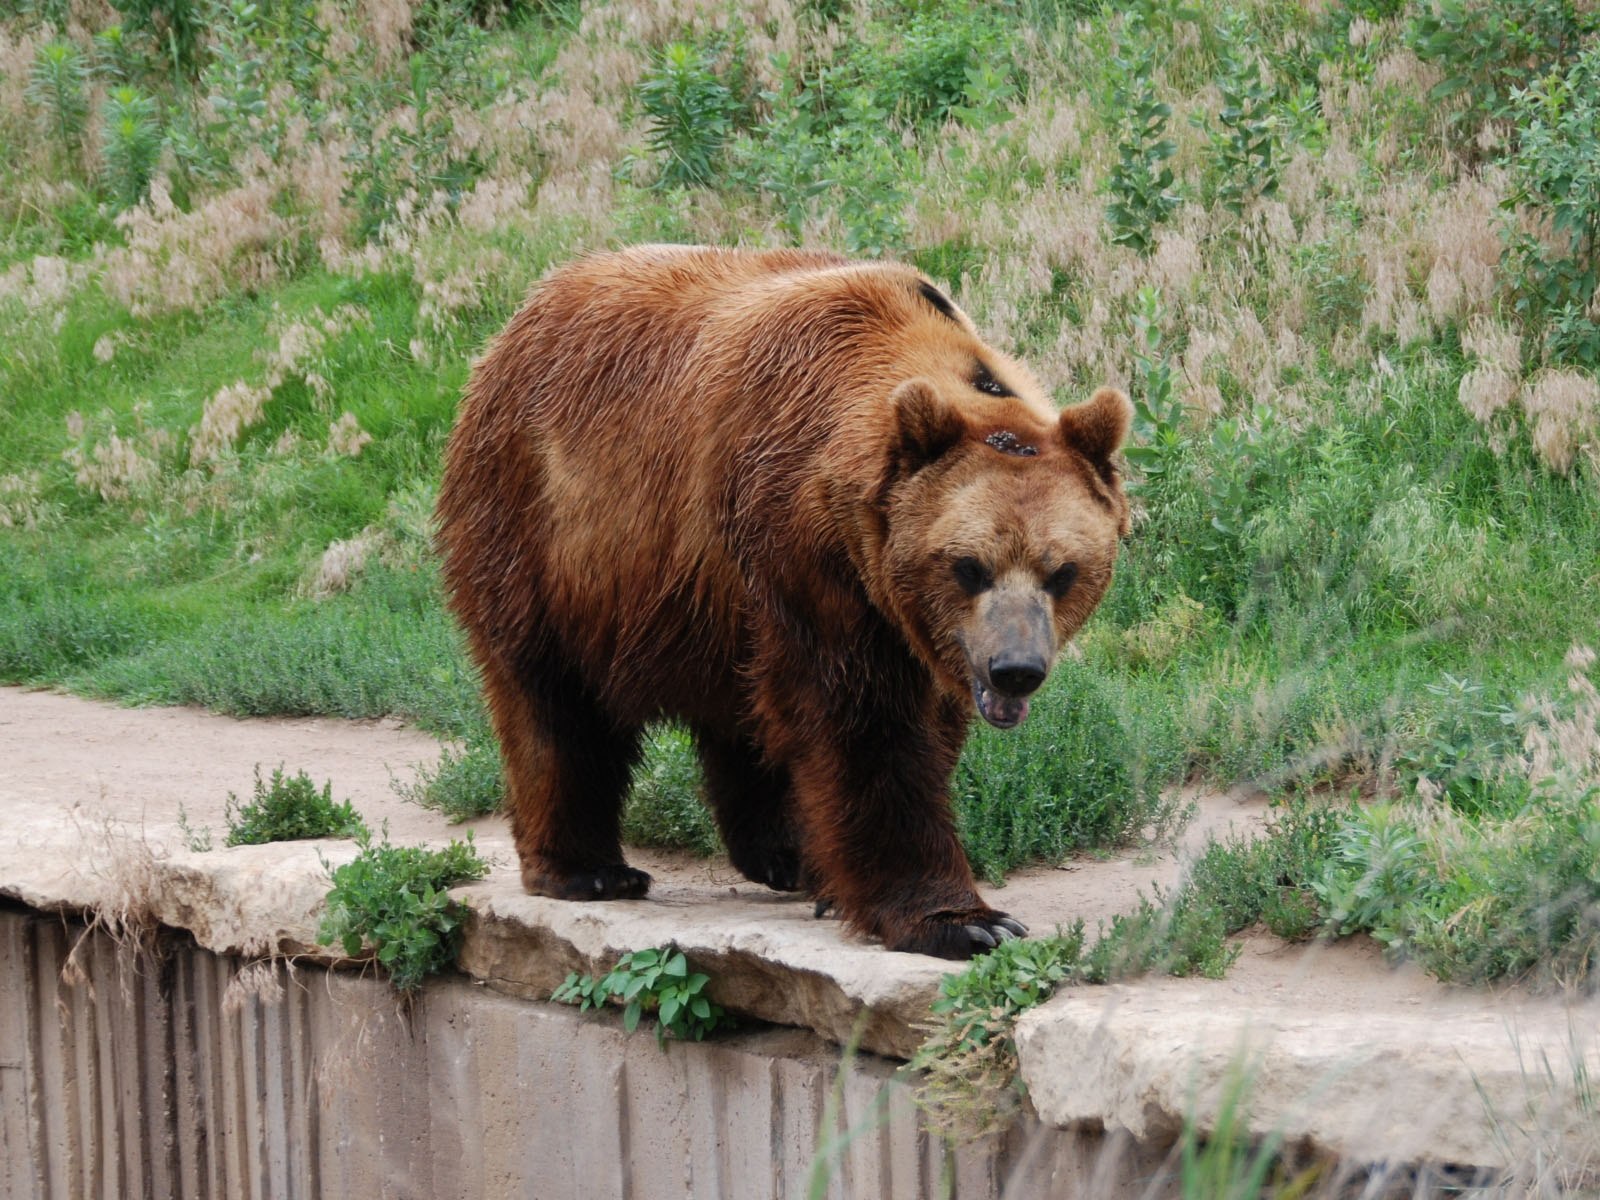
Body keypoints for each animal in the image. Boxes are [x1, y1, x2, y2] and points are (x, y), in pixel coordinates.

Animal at [438, 249, 1132, 966]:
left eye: (1062, 571)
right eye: (969, 566)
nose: (1014, 670)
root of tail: (518, 321)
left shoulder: (896, 615)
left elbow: (919, 728)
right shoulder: (810, 562)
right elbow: (868, 730)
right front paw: (963, 920)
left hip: (705, 608)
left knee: (742, 713)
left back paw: (788, 853)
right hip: (545, 530)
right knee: (555, 703)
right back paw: (589, 869)